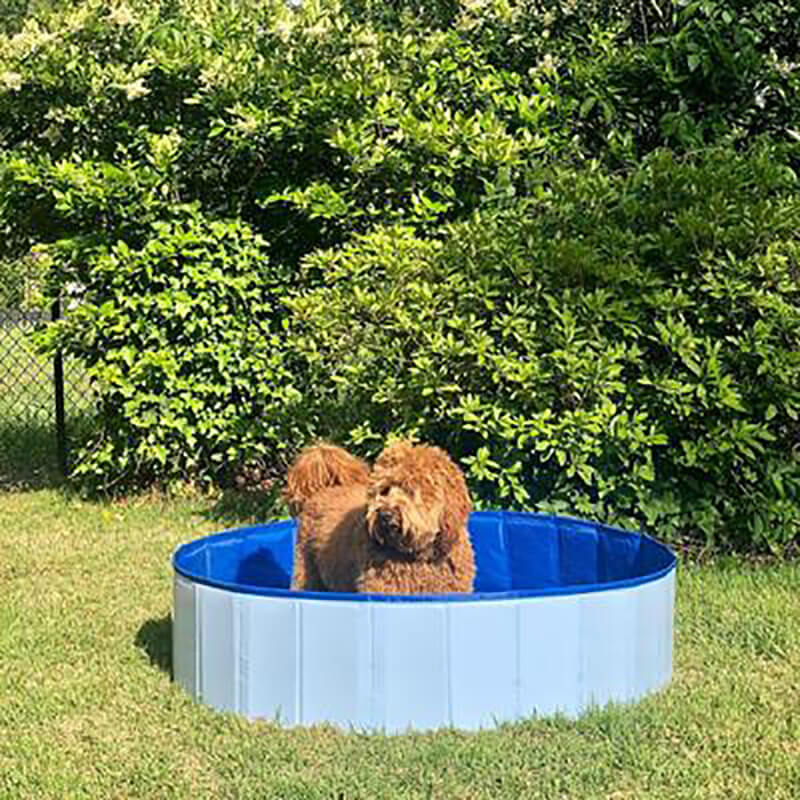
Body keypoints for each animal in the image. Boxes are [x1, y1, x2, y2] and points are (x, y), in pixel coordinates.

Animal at [284, 438, 476, 592]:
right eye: (384, 490)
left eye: (410, 490)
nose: (385, 514)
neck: (417, 556)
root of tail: (323, 490)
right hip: (306, 568)